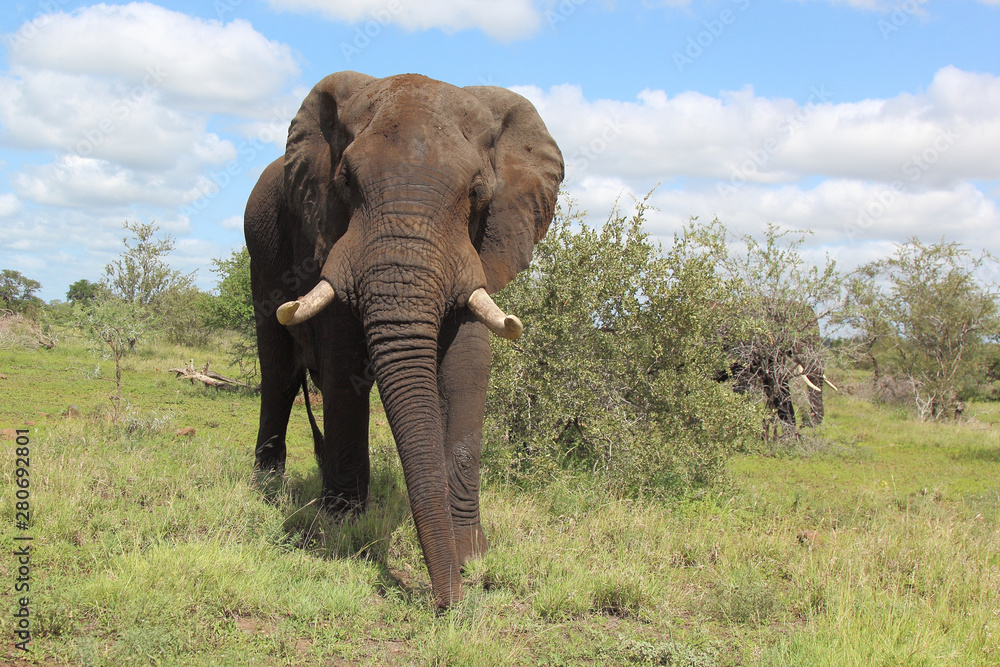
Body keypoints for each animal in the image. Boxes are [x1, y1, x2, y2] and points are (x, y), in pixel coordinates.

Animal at [244, 71, 563, 608]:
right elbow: (342, 364)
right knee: (279, 372)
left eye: (477, 191)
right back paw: (267, 486)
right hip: (260, 258)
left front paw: (472, 554)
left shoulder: (478, 249)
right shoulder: (329, 237)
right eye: (345, 182)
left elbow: (467, 368)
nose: (448, 603)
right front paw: (343, 530)